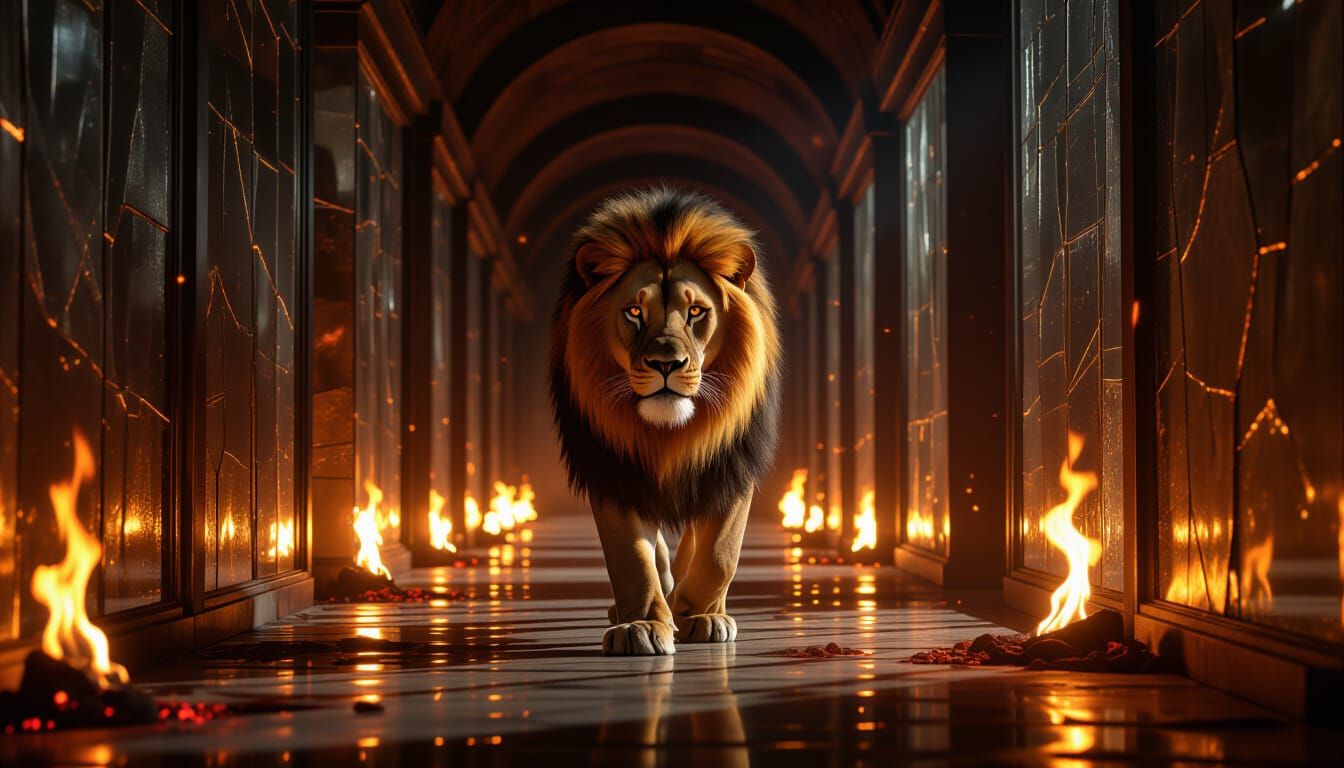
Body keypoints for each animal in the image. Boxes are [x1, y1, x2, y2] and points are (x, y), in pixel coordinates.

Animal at [549, 187, 781, 655]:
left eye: (696, 313)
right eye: (634, 313)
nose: (666, 364)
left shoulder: (731, 466)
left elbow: (719, 551)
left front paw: (701, 616)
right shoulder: (612, 469)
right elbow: (632, 557)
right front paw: (641, 625)